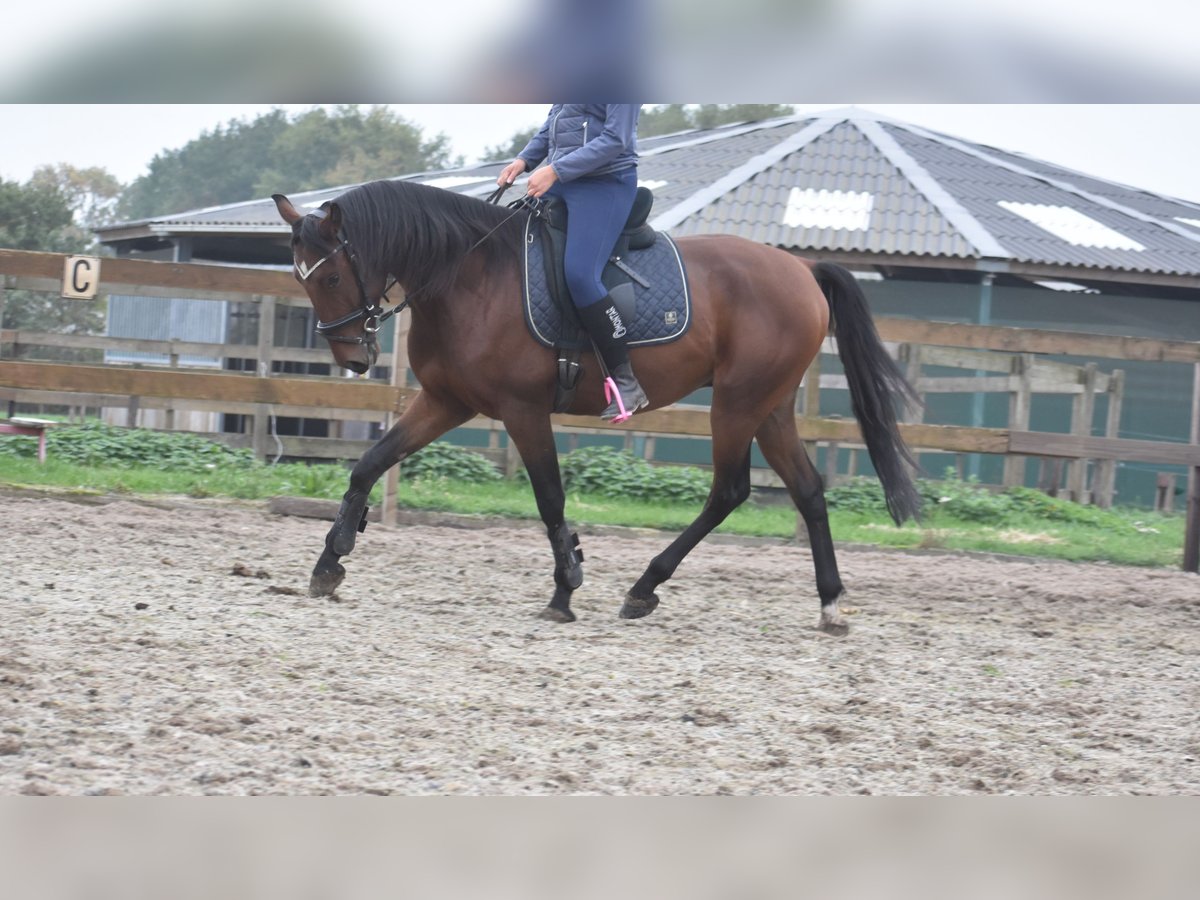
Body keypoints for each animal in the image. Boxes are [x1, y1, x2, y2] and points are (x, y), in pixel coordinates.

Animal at [272, 179, 921, 634]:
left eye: (331, 277)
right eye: (301, 279)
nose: (352, 357)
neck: (471, 275)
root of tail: (802, 268)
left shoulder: (522, 411)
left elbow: (550, 498)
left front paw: (565, 589)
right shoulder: (445, 401)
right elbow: (368, 464)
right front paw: (330, 562)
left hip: (739, 404)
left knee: (730, 491)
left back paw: (644, 585)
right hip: (771, 406)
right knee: (807, 490)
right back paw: (829, 603)